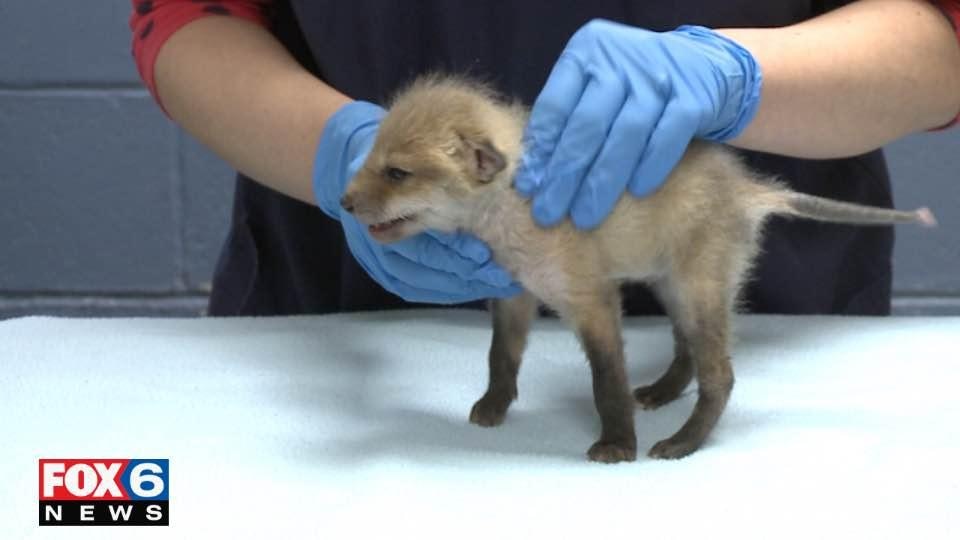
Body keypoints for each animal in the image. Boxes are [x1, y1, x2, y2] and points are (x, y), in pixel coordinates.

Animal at [339, 75, 935, 463]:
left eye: (397, 173)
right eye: (370, 159)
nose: (342, 202)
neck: (511, 218)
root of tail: (748, 188)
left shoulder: (593, 301)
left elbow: (607, 382)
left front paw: (617, 445)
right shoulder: (513, 296)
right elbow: (500, 359)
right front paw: (493, 407)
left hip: (698, 289)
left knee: (720, 376)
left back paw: (683, 442)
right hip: (674, 287)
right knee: (687, 355)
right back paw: (660, 394)